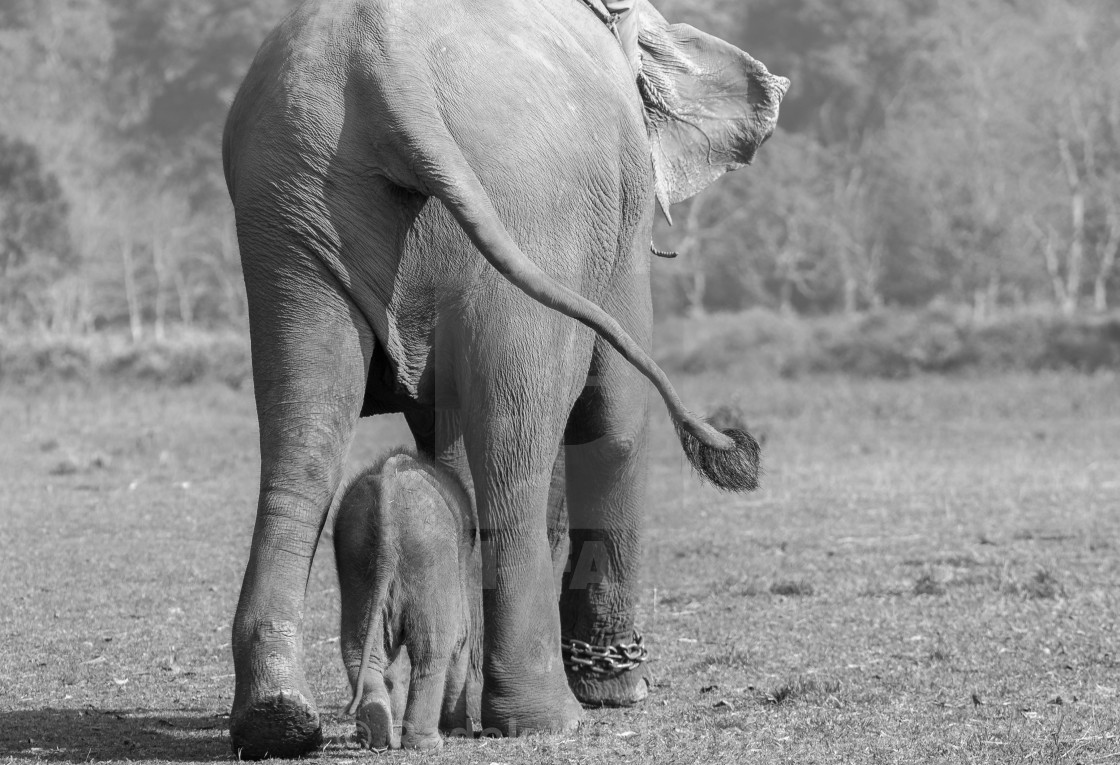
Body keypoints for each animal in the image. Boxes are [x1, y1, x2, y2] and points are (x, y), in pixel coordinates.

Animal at [327, 448, 477, 748]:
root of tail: (387, 498)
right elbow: (461, 638)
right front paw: (458, 730)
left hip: (357, 564)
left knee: (360, 649)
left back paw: (374, 730)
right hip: (431, 561)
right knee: (432, 651)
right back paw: (427, 745)